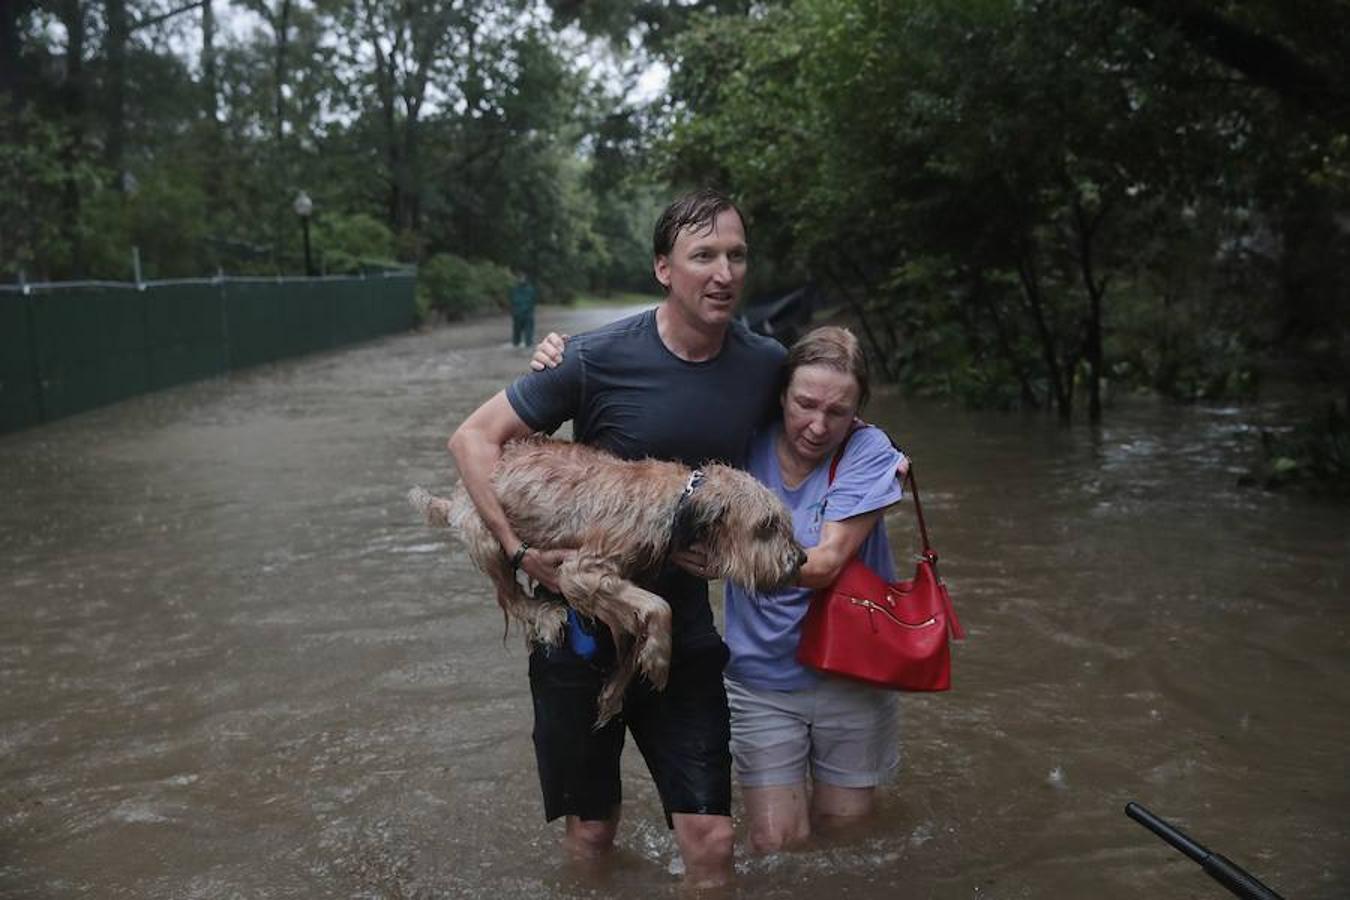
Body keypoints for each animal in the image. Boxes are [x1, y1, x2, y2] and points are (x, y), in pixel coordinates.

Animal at [402, 437, 799, 723]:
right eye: (766, 526)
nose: (799, 561)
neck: (677, 504)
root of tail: (455, 496)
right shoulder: (581, 571)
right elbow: (661, 607)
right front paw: (658, 660)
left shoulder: (623, 585)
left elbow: (632, 634)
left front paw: (614, 691)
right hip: (487, 537)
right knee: (512, 597)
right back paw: (545, 615)